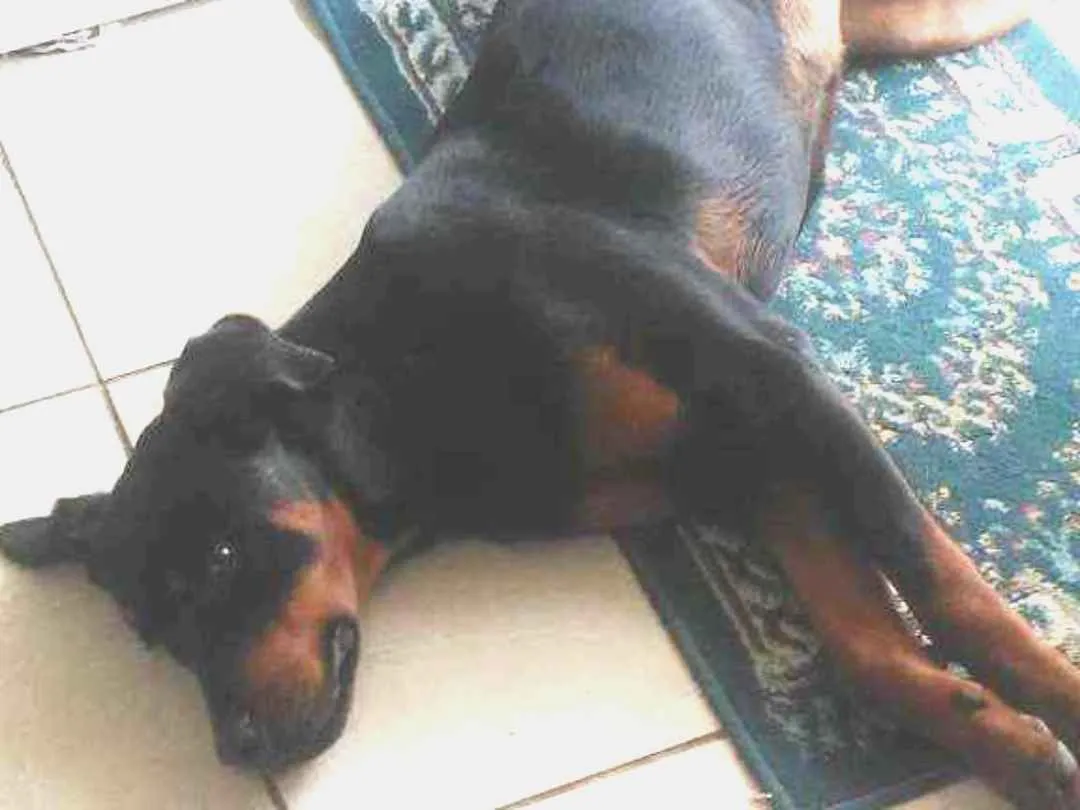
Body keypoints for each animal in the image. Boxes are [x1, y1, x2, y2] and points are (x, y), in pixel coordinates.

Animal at [4, 0, 1078, 806]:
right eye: (153, 638)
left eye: (225, 559)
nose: (240, 750)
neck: (412, 386)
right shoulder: (747, 460)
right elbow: (866, 648)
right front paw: (1010, 744)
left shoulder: (778, 376)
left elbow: (943, 586)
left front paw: (1055, 696)